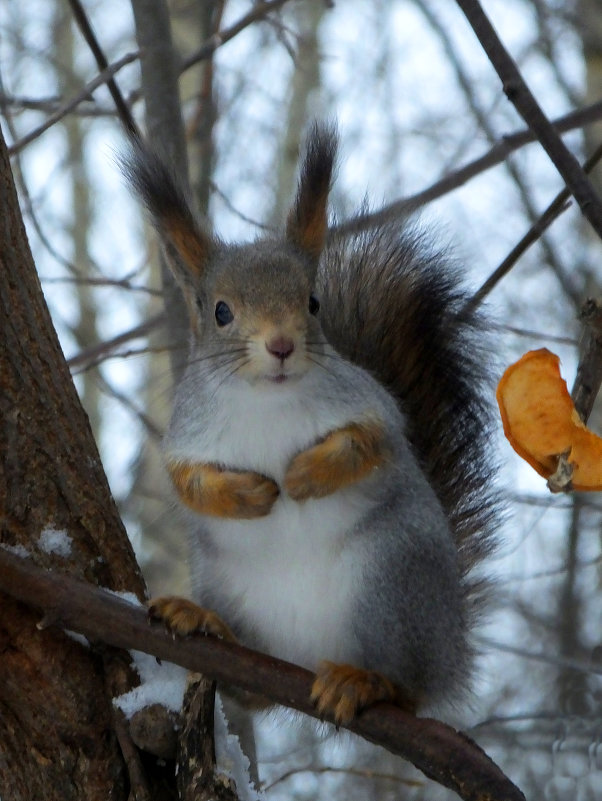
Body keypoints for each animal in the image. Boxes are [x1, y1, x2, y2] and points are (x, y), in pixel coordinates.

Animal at [123, 120, 496, 724]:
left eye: (314, 302)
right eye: (221, 311)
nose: (281, 345)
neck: (267, 401)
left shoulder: (370, 404)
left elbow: (370, 442)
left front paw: (304, 475)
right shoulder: (187, 434)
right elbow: (189, 481)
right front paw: (247, 494)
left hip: (391, 584)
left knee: (409, 687)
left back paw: (365, 682)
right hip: (229, 585)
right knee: (252, 691)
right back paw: (208, 624)